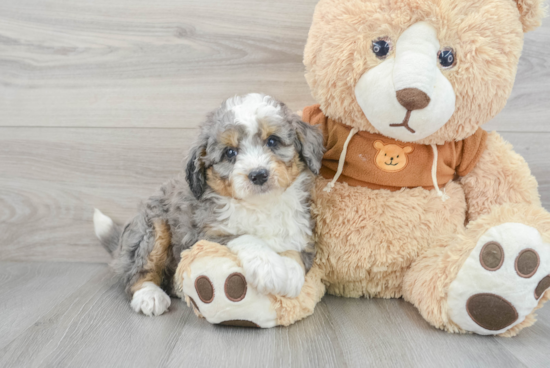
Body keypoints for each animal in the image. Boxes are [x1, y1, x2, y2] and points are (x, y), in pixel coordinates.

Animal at [93, 93, 326, 314]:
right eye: (230, 153)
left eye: (273, 141)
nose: (258, 174)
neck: (261, 206)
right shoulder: (202, 235)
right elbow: (244, 236)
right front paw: (268, 267)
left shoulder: (301, 230)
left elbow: (295, 251)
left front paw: (291, 277)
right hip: (151, 229)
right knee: (136, 271)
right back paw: (149, 295)